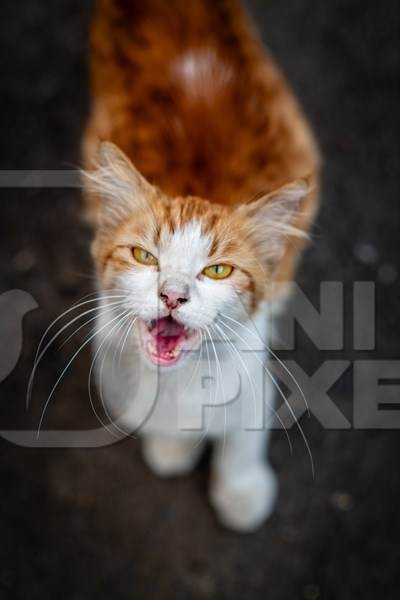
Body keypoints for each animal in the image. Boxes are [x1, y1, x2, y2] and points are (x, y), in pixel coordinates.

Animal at [81, 0, 318, 528]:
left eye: (218, 270)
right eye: (144, 256)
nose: (172, 295)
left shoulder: (252, 369)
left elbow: (245, 435)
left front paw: (241, 490)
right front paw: (174, 445)